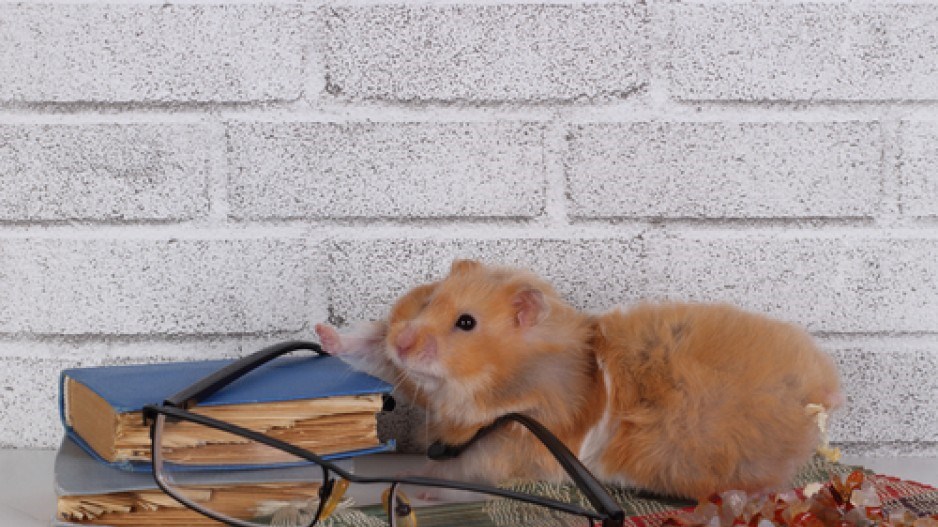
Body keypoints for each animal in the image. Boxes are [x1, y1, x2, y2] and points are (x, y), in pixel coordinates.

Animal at [314, 262, 840, 502]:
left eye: (466, 323)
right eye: (427, 303)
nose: (403, 341)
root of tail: (820, 393)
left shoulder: (515, 440)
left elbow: (462, 470)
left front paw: (420, 489)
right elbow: (367, 350)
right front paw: (324, 333)